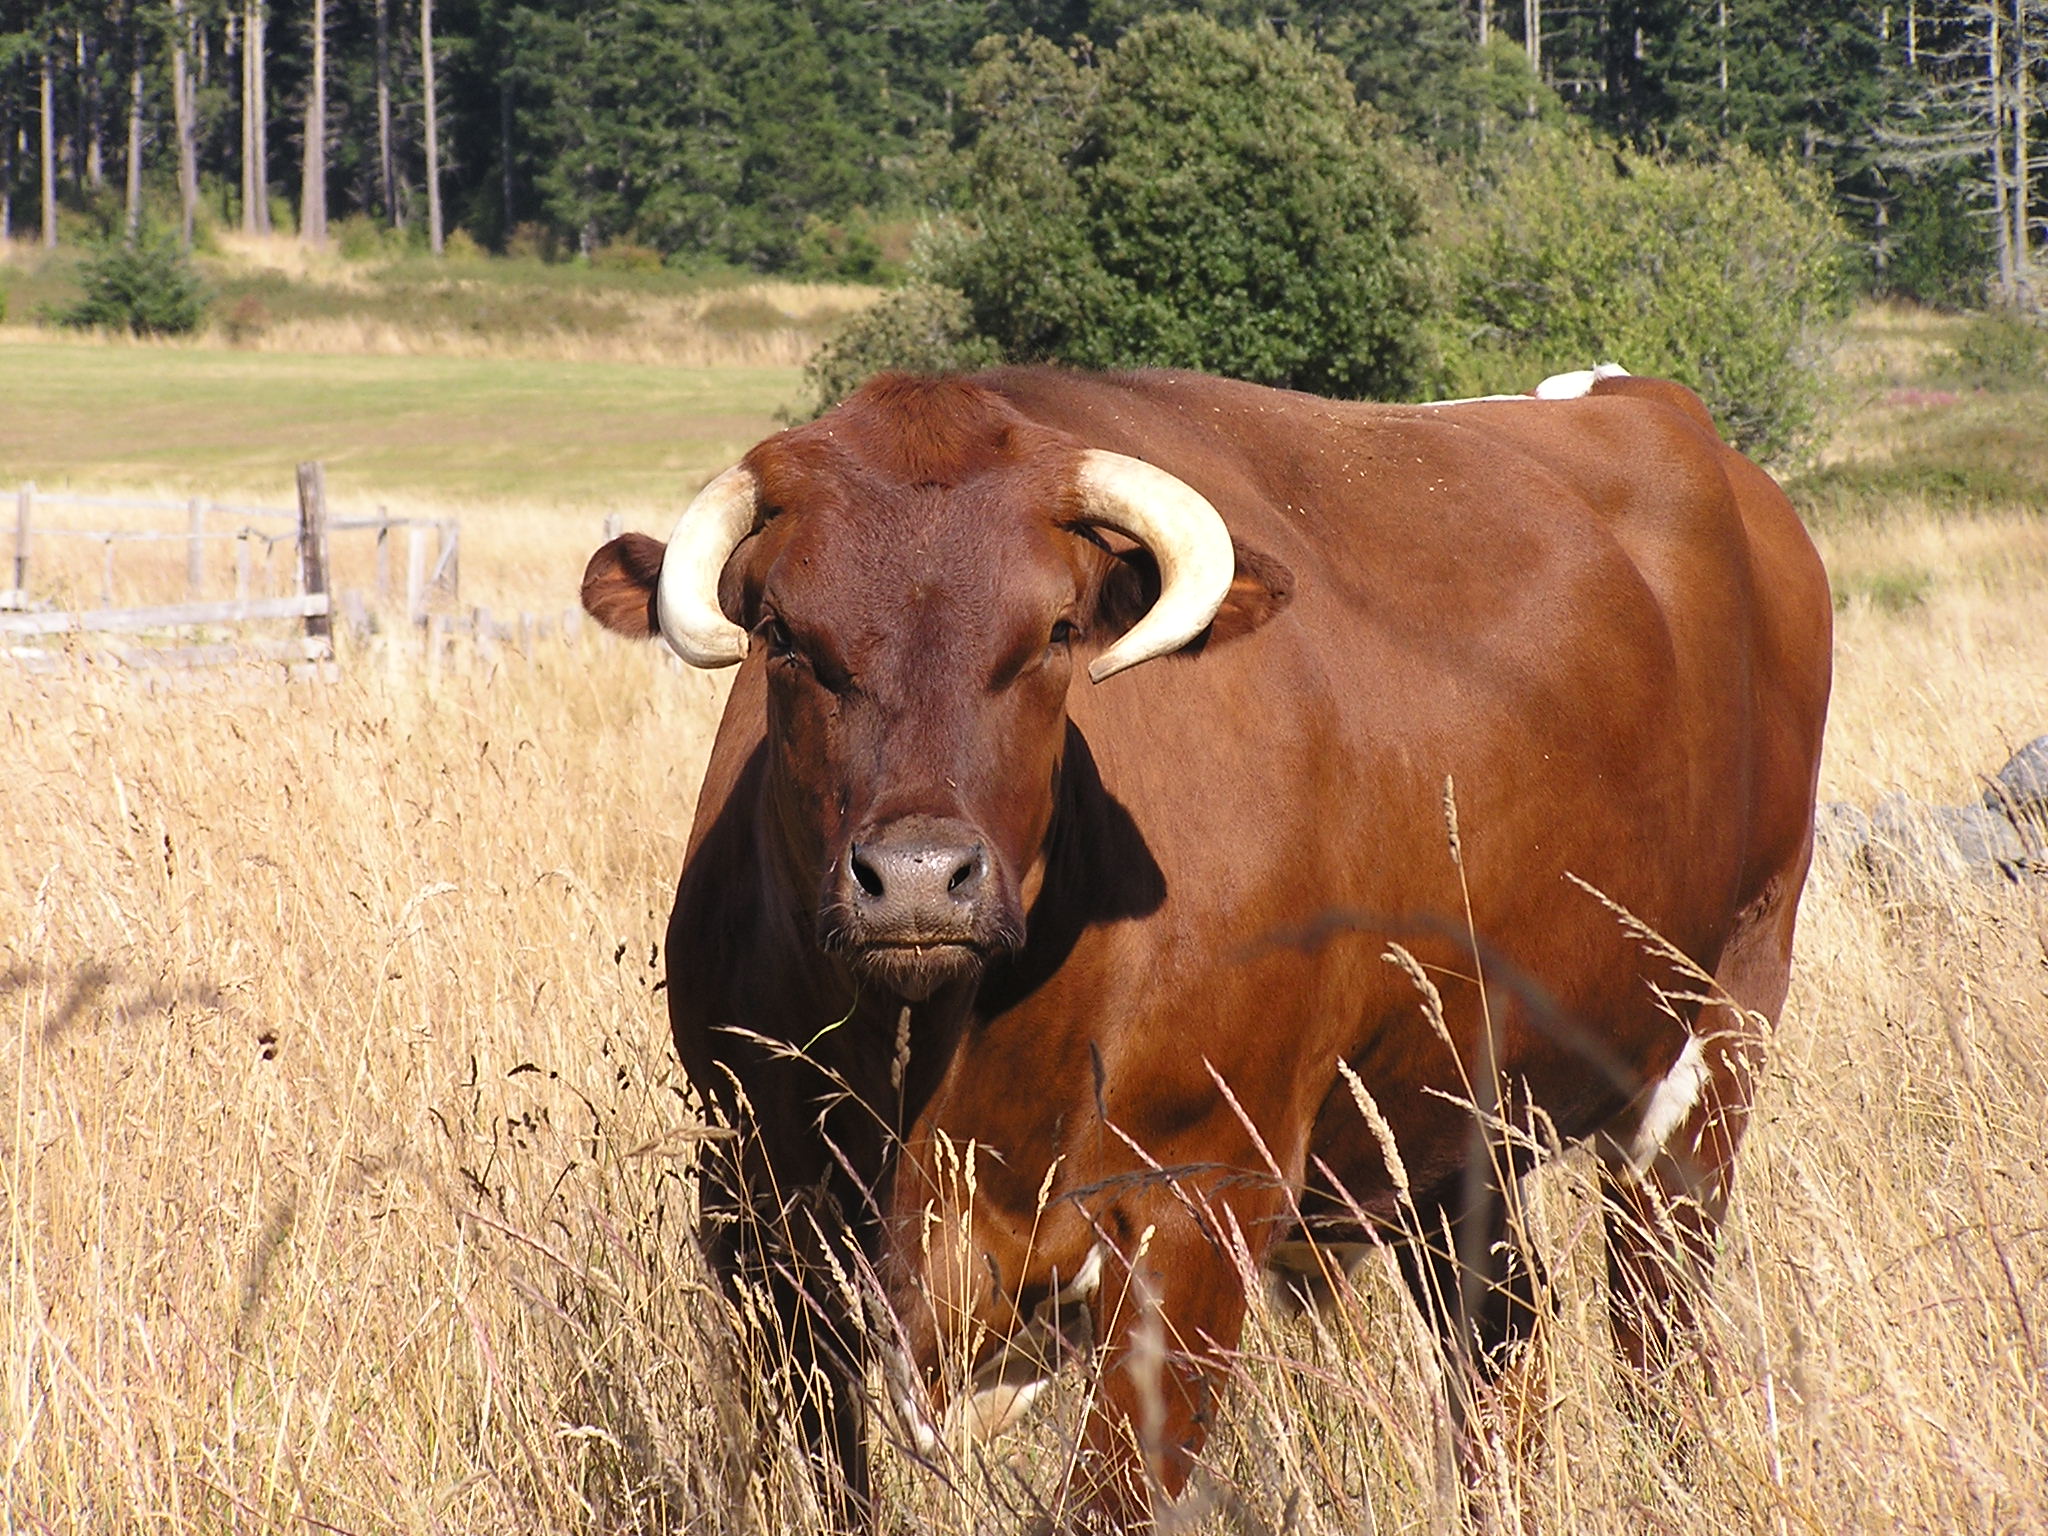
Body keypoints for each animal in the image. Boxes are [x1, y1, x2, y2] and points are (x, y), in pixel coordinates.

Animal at [581, 366, 1843, 1531]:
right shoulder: (754, 1211)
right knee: (1501, 1338)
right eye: (783, 637)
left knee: (1654, 1319)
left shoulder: (1193, 1211)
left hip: (1717, 1028)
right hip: (1444, 1117)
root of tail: (1643, 397)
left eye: (1053, 632)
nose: (918, 880)